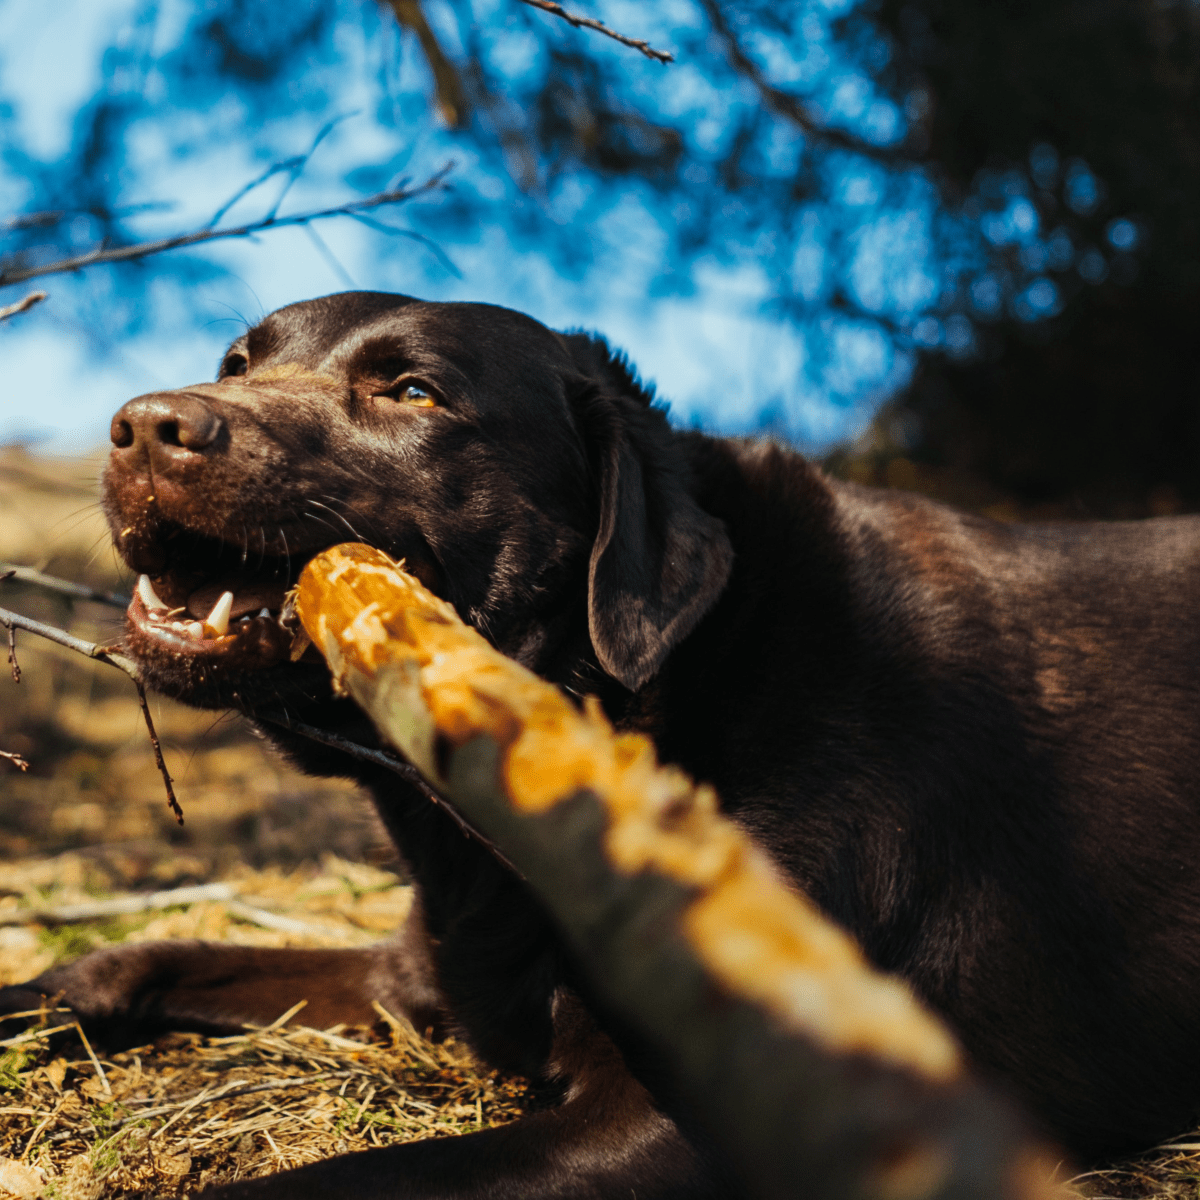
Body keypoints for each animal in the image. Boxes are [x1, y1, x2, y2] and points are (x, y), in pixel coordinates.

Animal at [7, 290, 1200, 1200]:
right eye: (237, 362)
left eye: (413, 393)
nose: (142, 426)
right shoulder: (423, 972)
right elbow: (131, 960)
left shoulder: (689, 1119)